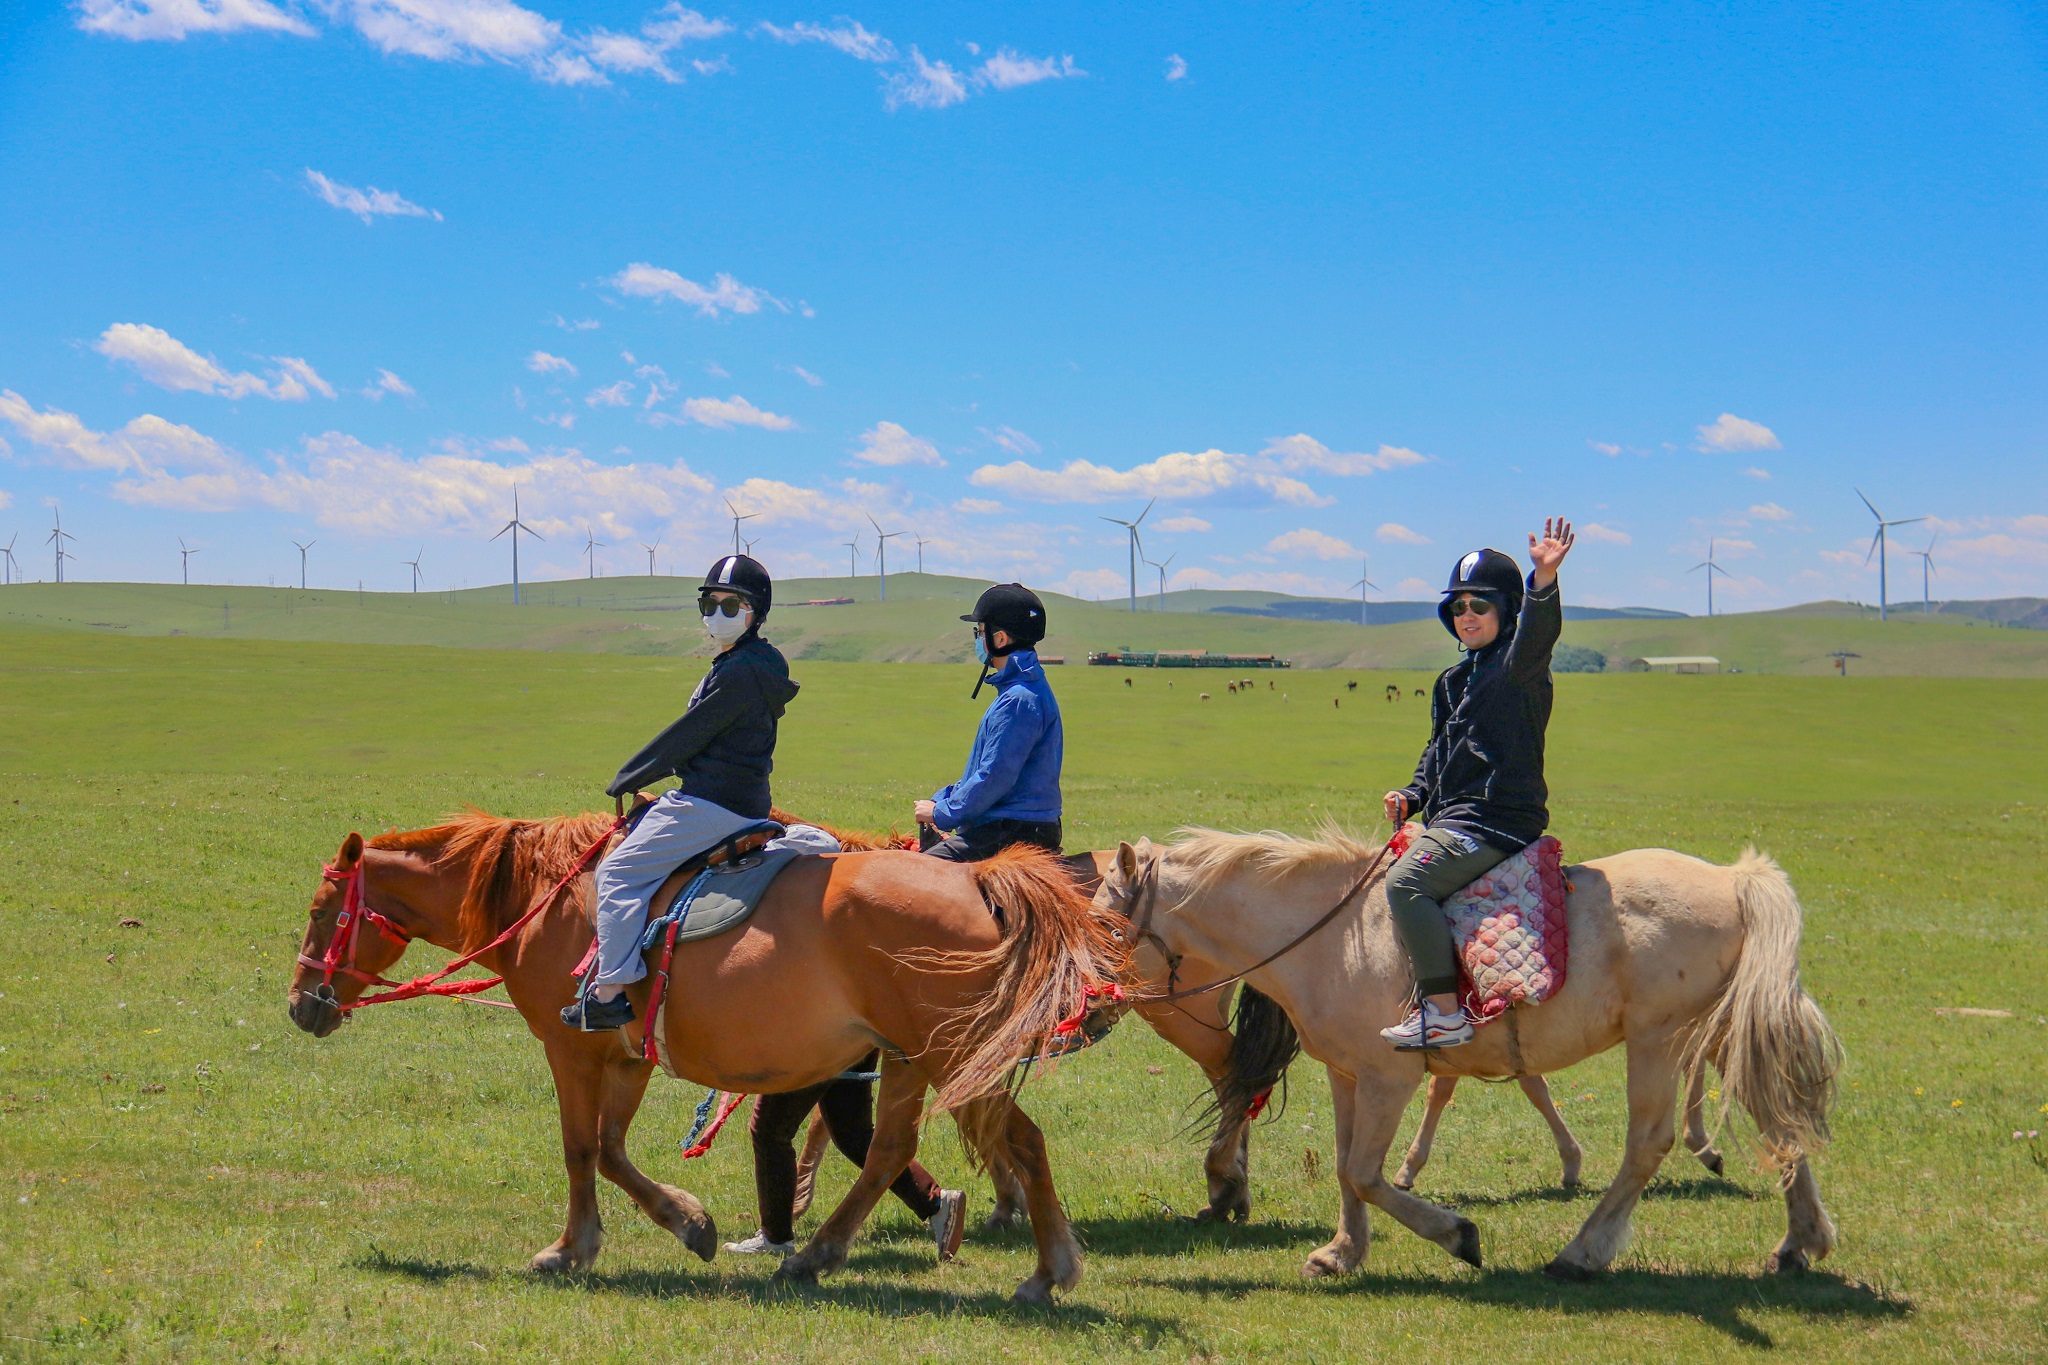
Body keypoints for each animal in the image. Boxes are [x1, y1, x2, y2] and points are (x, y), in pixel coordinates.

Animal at [280, 810, 1130, 1301]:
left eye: (323, 910)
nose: (299, 1004)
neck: (545, 898)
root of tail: (977, 880)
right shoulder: (627, 1057)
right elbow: (613, 1149)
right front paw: (688, 1223)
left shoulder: (572, 1050)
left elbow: (579, 1147)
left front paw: (571, 1247)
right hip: (913, 1059)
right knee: (897, 1146)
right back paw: (829, 1255)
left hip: (949, 1055)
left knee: (1005, 1141)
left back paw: (1037, 1268)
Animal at [1097, 826, 1851, 1285]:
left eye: (1104, 922)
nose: (1084, 996)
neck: (1333, 934)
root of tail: (1733, 878)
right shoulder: (1346, 1074)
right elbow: (1344, 1168)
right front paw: (1341, 1253)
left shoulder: (1389, 1075)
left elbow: (1367, 1172)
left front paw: (1458, 1235)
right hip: (1717, 1031)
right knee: (1775, 1114)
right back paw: (1800, 1242)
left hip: (1658, 1038)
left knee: (1649, 1142)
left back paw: (1581, 1253)